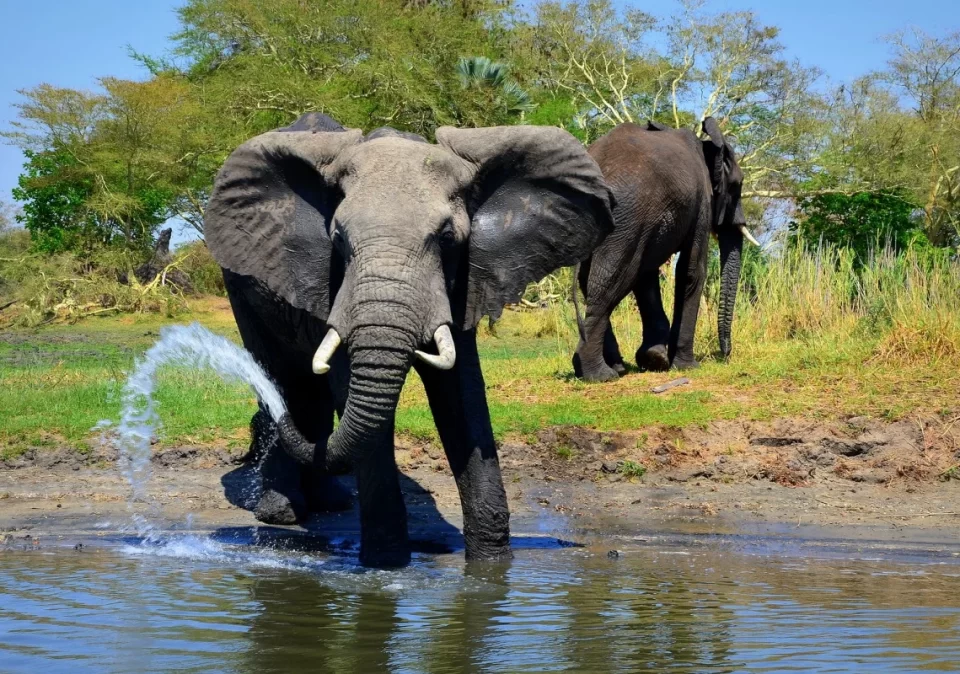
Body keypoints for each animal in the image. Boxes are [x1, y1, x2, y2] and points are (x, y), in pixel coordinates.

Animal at [204, 113, 614, 567]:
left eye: (447, 238)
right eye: (338, 240)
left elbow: (462, 394)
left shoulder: (467, 276)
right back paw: (282, 513)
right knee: (280, 376)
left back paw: (328, 502)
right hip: (239, 283)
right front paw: (386, 565)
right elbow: (351, 388)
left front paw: (490, 565)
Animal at [572, 118, 758, 382]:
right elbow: (691, 271)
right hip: (626, 219)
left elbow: (647, 276)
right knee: (612, 280)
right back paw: (600, 375)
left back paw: (615, 367)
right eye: (737, 185)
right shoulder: (701, 203)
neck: (709, 146)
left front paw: (654, 359)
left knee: (594, 281)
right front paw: (686, 366)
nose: (725, 355)